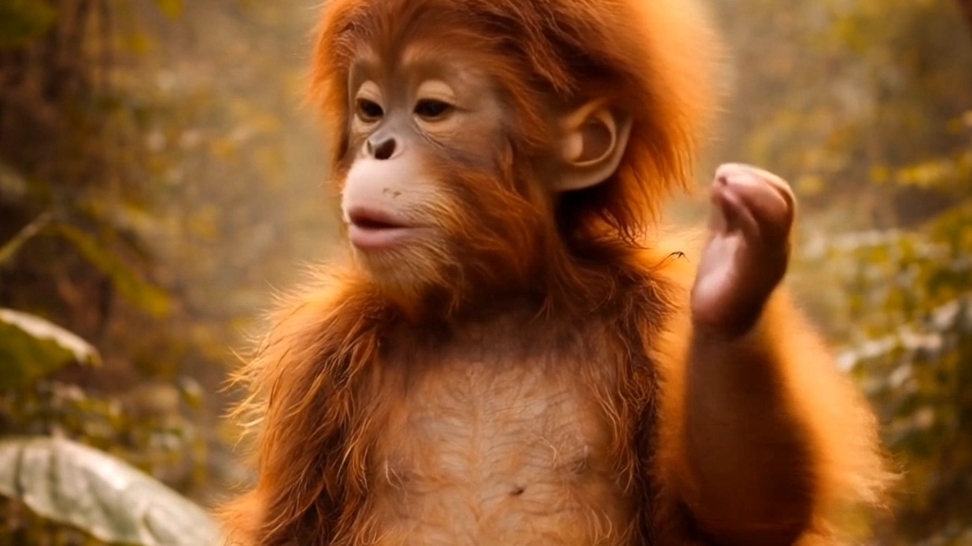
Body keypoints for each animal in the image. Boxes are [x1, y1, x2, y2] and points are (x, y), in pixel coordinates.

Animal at [217, 0, 891, 545]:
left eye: (432, 109)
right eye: (370, 110)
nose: (379, 146)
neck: (492, 309)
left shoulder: (651, 314)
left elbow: (741, 514)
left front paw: (733, 285)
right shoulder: (321, 362)